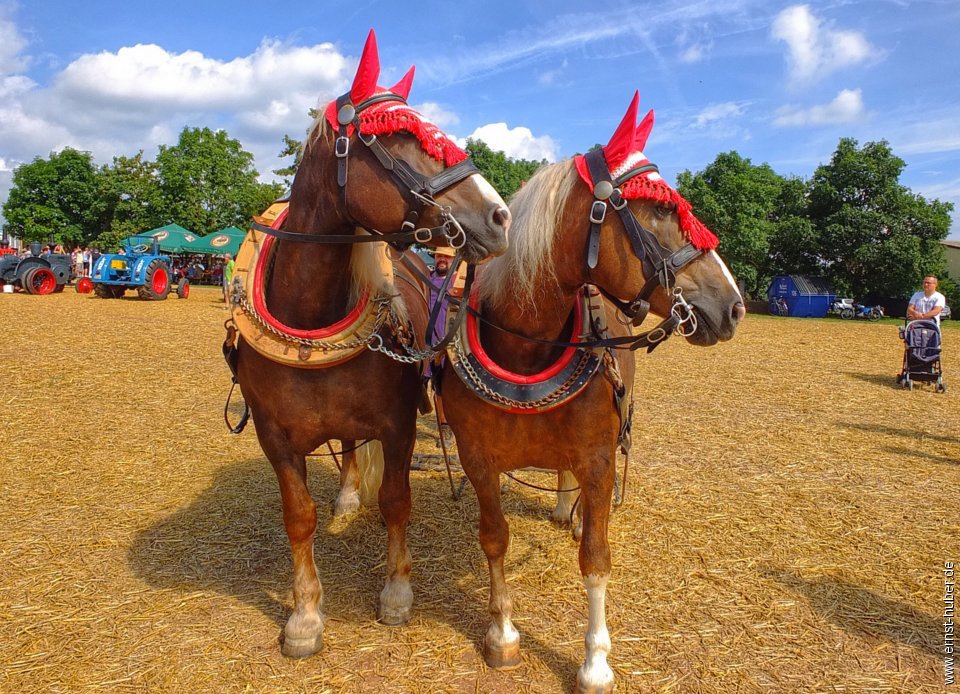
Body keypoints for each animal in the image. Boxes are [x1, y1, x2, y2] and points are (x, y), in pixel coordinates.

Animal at [232, 32, 510, 660]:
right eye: (399, 137)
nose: (500, 216)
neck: (312, 319)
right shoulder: (274, 438)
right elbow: (299, 517)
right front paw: (305, 616)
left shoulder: (398, 423)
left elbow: (397, 502)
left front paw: (397, 593)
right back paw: (346, 495)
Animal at [438, 94, 748, 694]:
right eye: (659, 211)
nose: (734, 305)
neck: (528, 351)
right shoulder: (478, 459)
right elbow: (495, 539)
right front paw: (502, 635)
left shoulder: (600, 460)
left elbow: (596, 559)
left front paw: (596, 661)